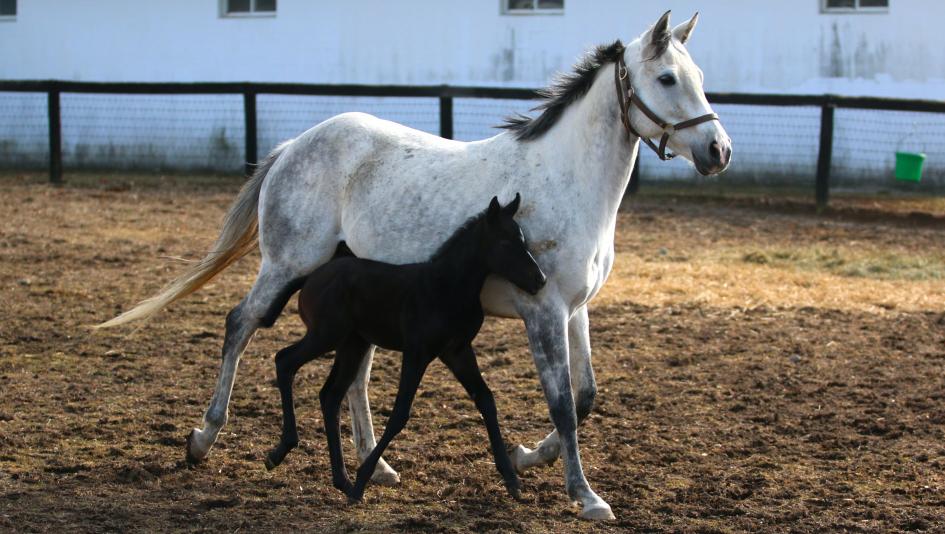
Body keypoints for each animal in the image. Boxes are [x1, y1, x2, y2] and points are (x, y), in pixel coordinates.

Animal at [264, 194, 545, 503]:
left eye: (523, 239)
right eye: (506, 242)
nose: (539, 279)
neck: (446, 287)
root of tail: (313, 276)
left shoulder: (458, 351)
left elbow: (486, 399)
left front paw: (512, 480)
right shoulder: (417, 353)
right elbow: (400, 413)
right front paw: (363, 479)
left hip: (353, 344)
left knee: (330, 395)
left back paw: (341, 481)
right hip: (326, 335)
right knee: (285, 360)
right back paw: (282, 452)